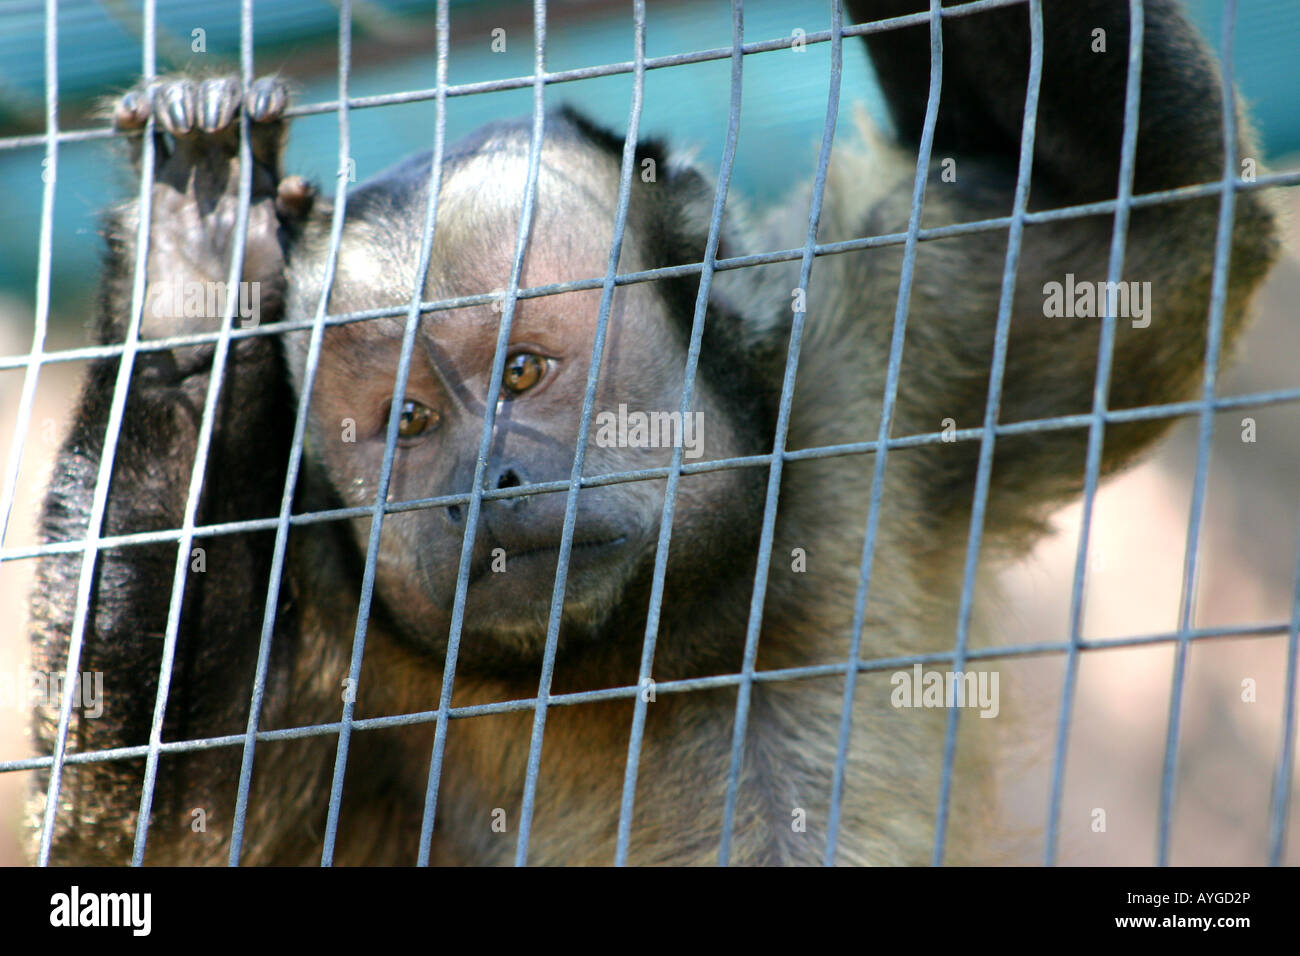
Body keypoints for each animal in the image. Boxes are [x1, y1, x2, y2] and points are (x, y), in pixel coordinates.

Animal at [27, 1, 1279, 868]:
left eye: (523, 371)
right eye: (409, 423)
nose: (484, 482)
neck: (655, 646)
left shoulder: (876, 359)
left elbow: (1130, 220)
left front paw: (195, 290)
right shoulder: (341, 624)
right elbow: (149, 826)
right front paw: (185, 319)